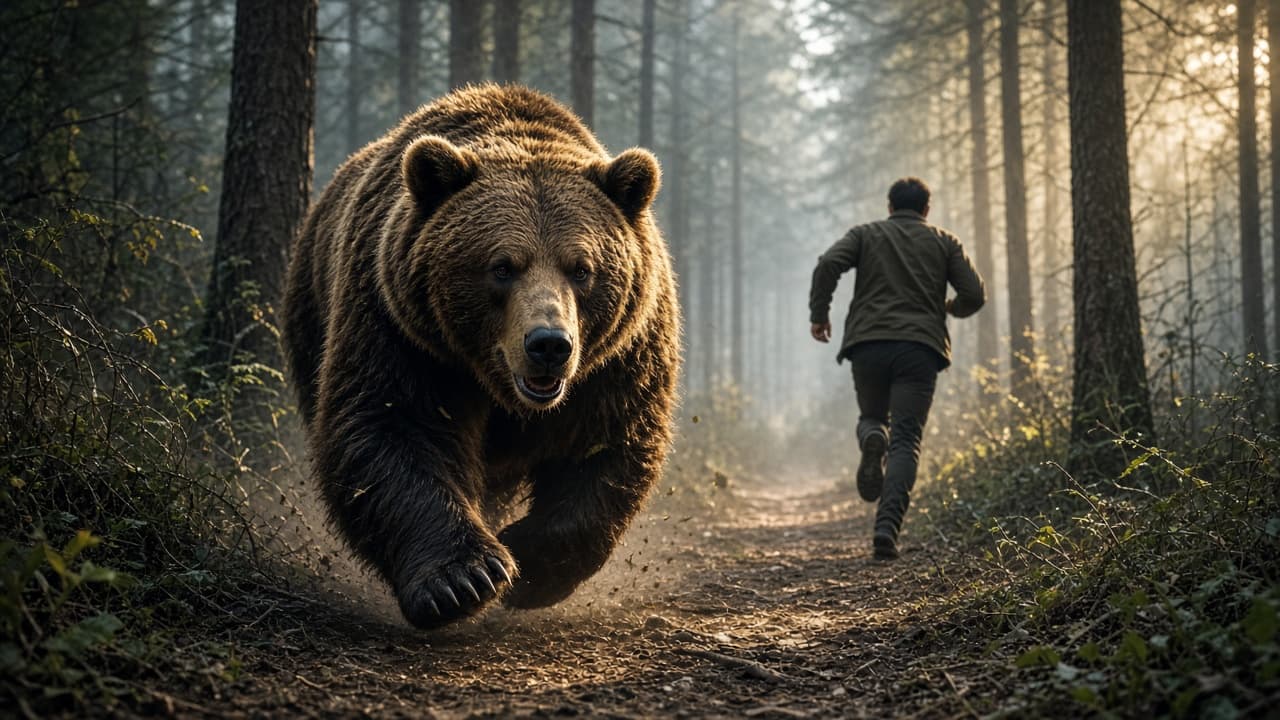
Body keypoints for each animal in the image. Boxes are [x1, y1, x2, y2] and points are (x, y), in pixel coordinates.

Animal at [282, 84, 680, 629]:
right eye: (502, 266)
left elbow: (606, 445)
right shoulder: (403, 331)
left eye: (581, 268)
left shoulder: (616, 359)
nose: (549, 345)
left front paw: (529, 562)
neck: (497, 384)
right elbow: (393, 426)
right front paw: (465, 580)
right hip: (313, 316)